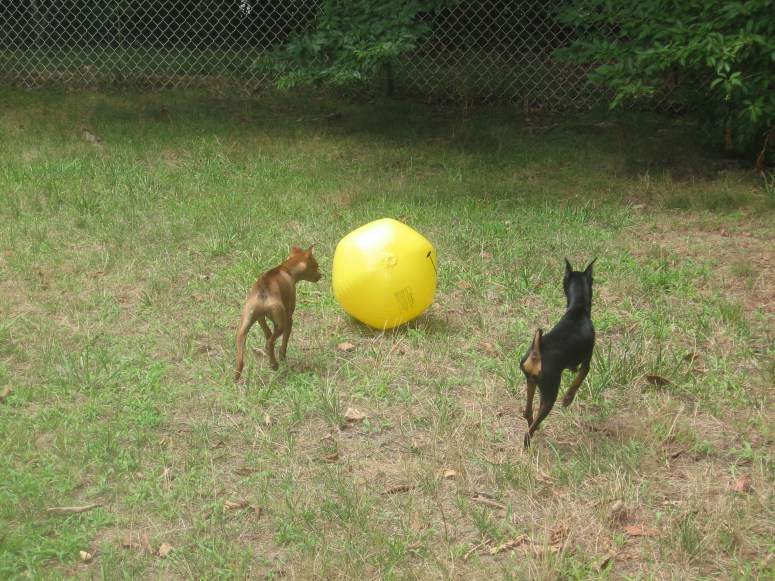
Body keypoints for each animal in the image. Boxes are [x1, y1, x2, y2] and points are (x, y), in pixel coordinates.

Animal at [234, 245, 322, 381]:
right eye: (316, 266)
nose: (321, 275)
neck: (286, 268)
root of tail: (263, 289)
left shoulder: (260, 318)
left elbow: (268, 333)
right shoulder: (288, 318)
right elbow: (284, 341)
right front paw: (282, 356)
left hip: (244, 326)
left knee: (240, 354)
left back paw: (236, 376)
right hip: (282, 324)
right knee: (272, 341)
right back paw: (274, 364)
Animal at [520, 258, 596, 447]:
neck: (578, 309)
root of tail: (537, 351)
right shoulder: (586, 363)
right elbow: (578, 379)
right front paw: (568, 399)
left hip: (532, 381)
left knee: (528, 412)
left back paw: (532, 422)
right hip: (549, 397)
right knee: (528, 432)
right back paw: (529, 445)